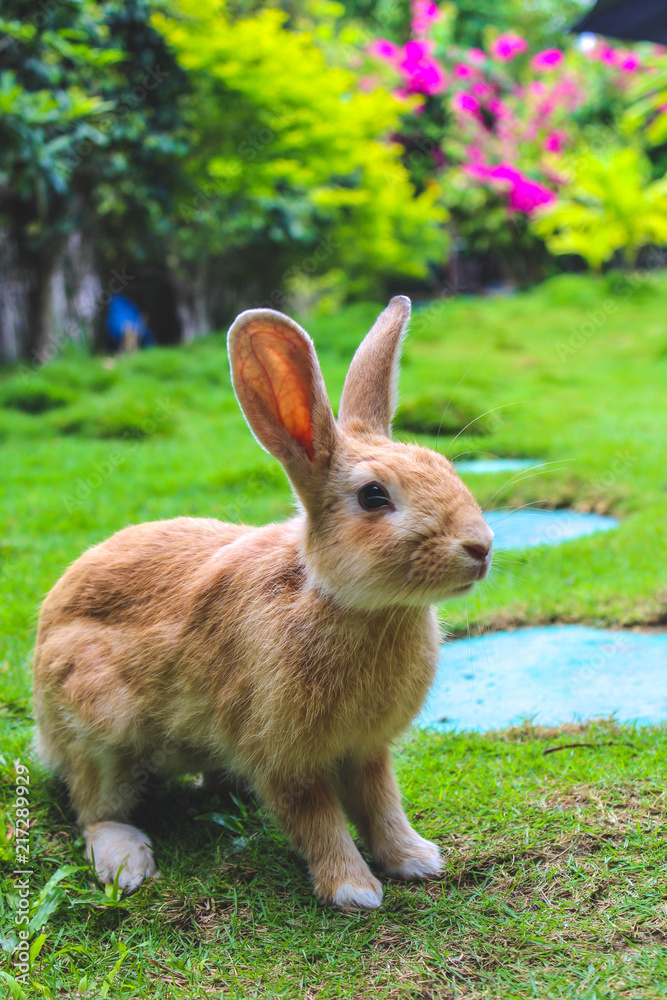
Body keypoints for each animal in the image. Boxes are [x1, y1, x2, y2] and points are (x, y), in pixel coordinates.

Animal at [32, 296, 493, 910]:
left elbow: (381, 803)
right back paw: (127, 863)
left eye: (445, 468)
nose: (481, 547)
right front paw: (353, 889)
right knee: (95, 808)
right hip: (95, 719)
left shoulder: (367, 751)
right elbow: (317, 818)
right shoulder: (280, 752)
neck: (340, 600)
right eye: (374, 496)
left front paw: (415, 860)